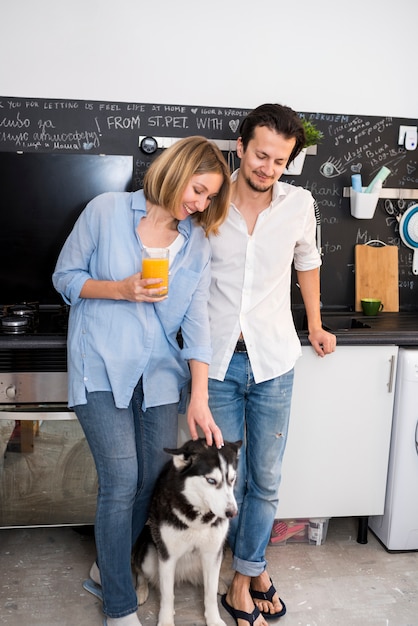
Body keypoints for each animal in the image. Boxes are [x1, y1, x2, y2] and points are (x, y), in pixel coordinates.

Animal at [131, 436, 242, 624]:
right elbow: (167, 596)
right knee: (140, 570)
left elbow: (210, 595)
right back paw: (141, 590)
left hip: (222, 549)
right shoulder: (167, 556)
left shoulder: (213, 552)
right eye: (211, 480)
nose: (232, 513)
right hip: (149, 558)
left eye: (232, 479)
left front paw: (214, 619)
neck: (198, 516)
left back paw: (219, 582)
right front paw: (166, 621)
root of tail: (183, 574)